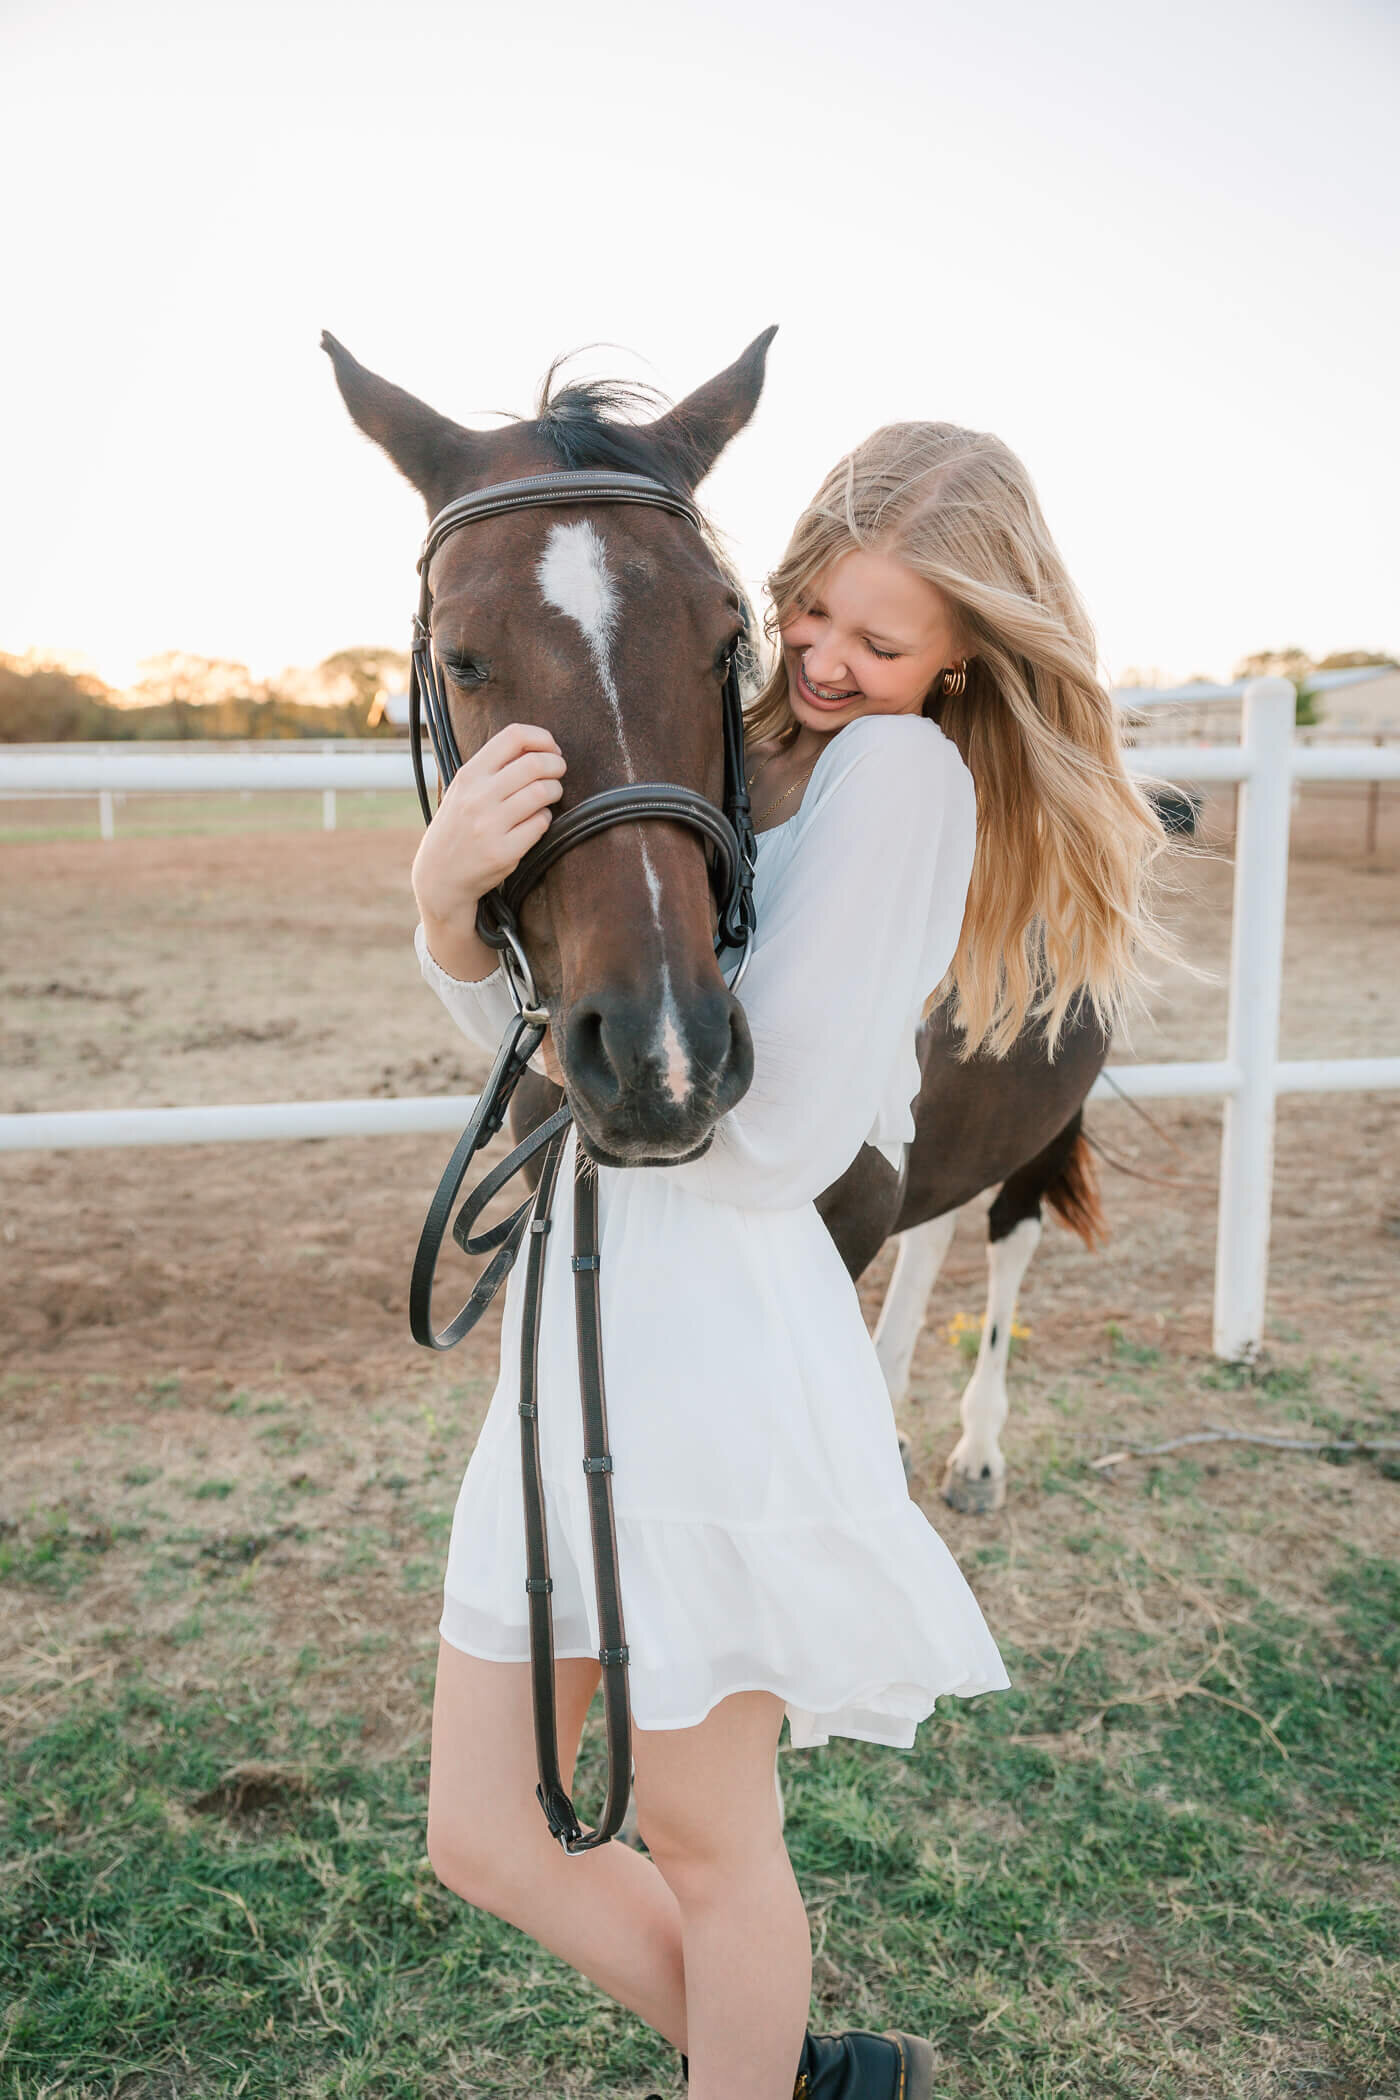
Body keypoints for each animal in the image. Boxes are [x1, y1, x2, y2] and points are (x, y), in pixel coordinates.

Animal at [325, 331, 1108, 1511]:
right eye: (460, 657)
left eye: (726, 641)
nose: (662, 1057)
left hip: (1044, 1111)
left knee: (1006, 1234)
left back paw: (976, 1446)